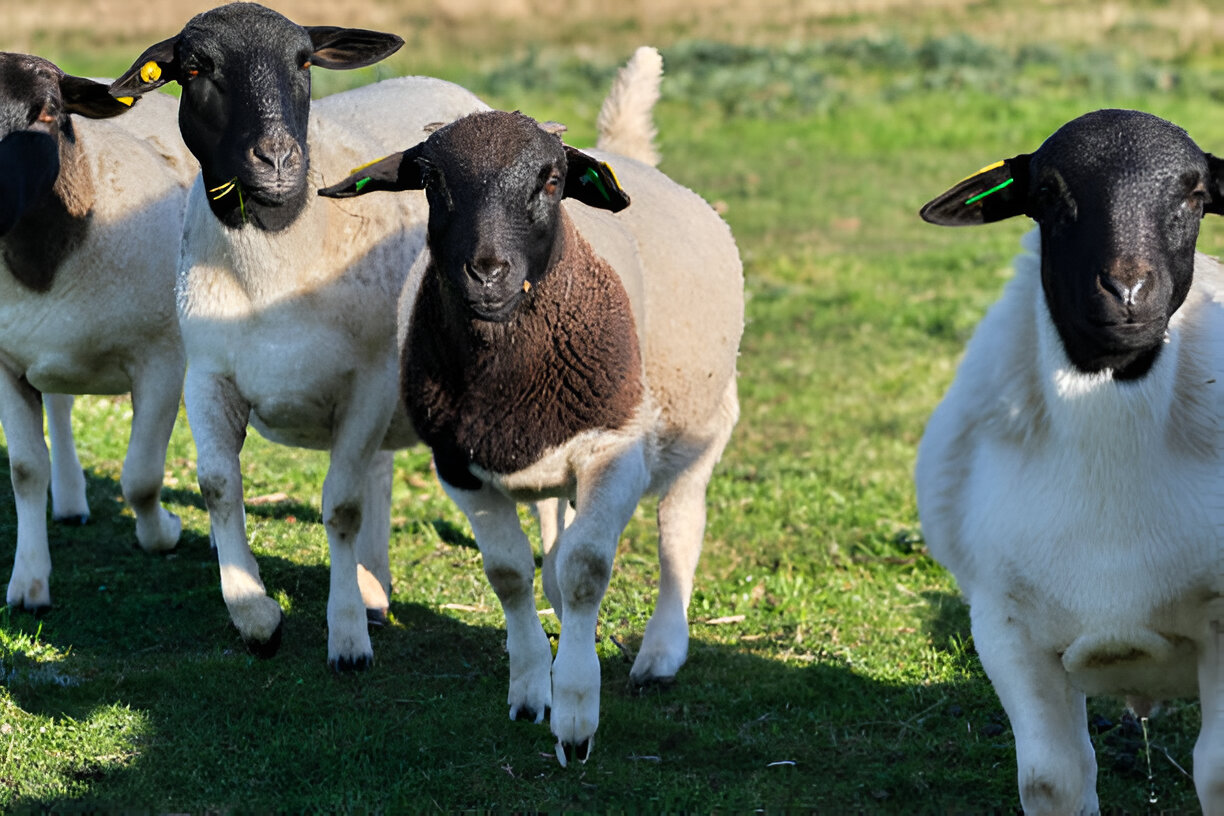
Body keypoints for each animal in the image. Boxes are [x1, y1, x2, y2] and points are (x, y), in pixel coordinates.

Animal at [0, 52, 196, 612]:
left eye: (49, 113)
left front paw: (165, 533)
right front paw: (29, 583)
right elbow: (26, 469)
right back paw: (69, 501)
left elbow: (142, 478)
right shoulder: (7, 363)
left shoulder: (161, 359)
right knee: (60, 405)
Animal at [109, 2, 489, 669]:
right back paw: (373, 587)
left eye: (305, 61)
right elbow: (217, 486)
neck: (275, 265)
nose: (279, 160)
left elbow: (341, 506)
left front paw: (347, 638)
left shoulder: (367, 385)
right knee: (379, 473)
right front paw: (257, 615)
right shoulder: (208, 375)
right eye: (195, 67)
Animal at [318, 46, 743, 764]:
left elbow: (586, 572)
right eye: (431, 181)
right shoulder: (459, 467)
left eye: (550, 181)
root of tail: (620, 152)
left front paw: (574, 715)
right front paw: (528, 690)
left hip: (701, 430)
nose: (487, 272)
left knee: (678, 530)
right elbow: (510, 574)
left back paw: (661, 651)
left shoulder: (615, 451)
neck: (508, 376)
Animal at [916, 109, 1224, 814]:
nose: (1127, 290)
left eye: (1196, 196)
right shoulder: (1006, 630)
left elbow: (1218, 770)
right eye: (1048, 194)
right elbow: (1052, 780)